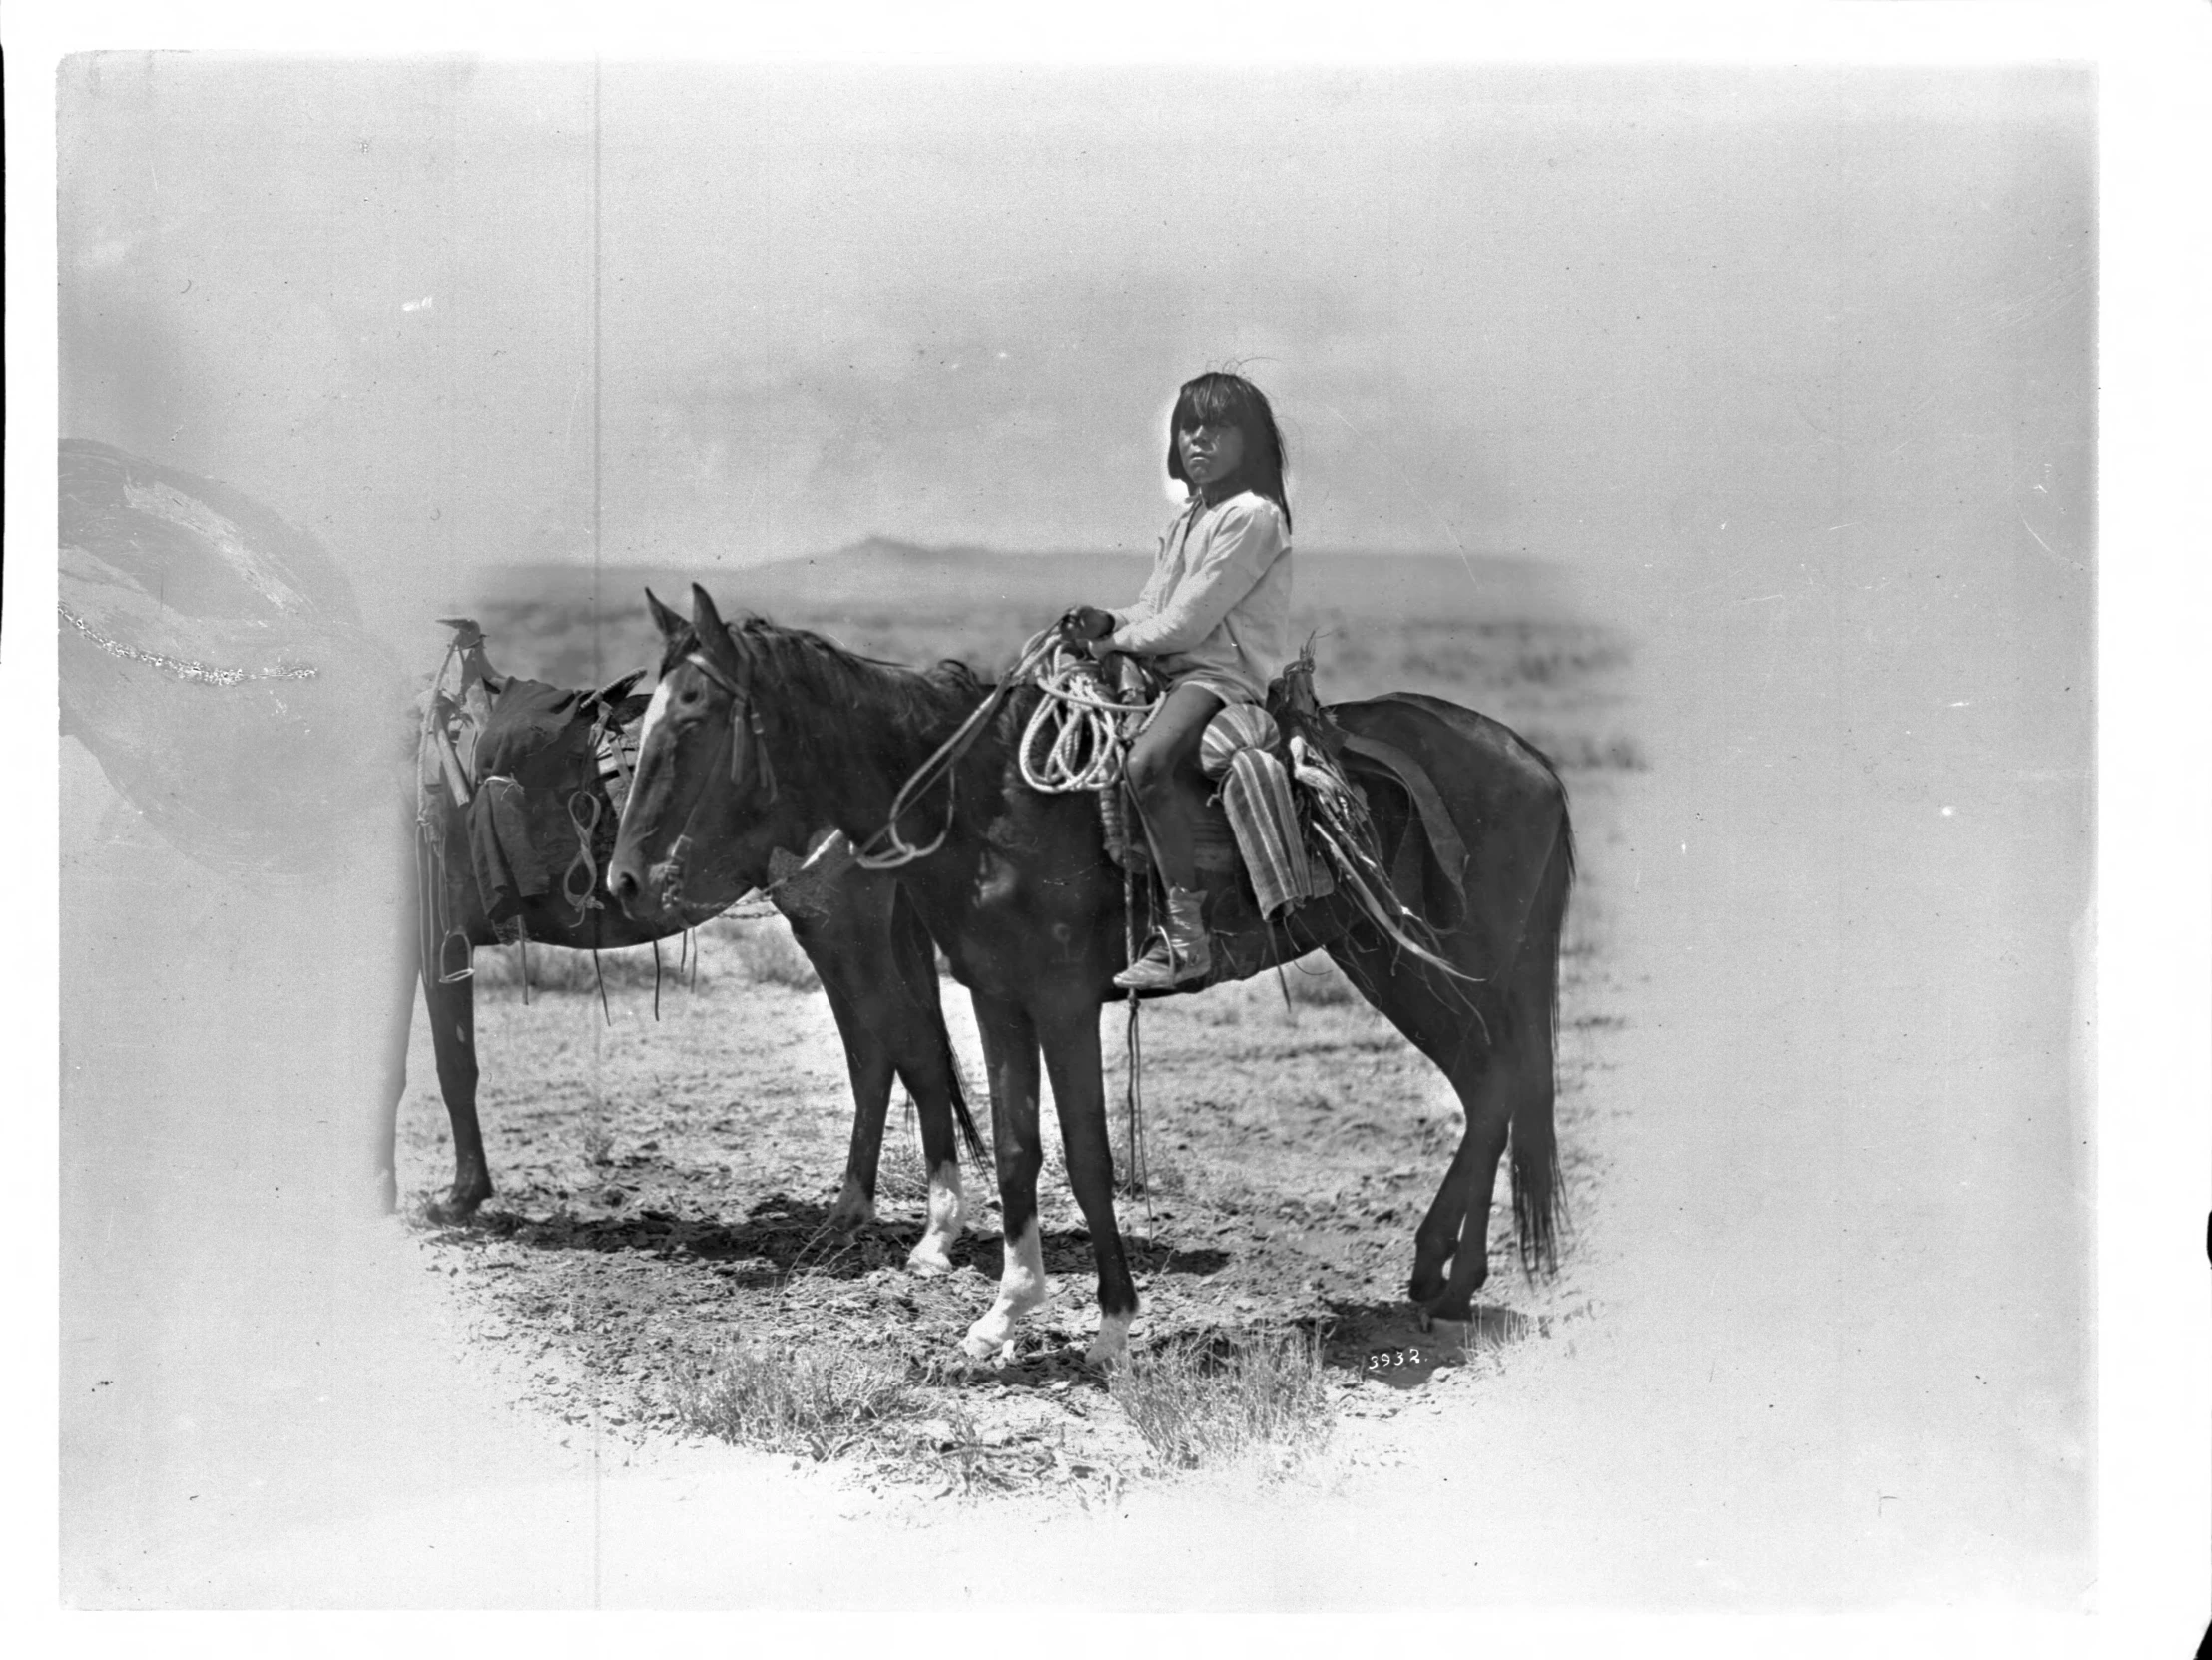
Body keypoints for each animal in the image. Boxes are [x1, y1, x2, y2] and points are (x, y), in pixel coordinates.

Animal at [375, 628, 981, 1266]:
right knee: (872, 1060)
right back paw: (847, 1215)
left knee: (912, 1050)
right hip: (842, 931)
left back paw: (936, 1232)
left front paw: (423, 1196)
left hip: (836, 926)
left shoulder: (422, 942)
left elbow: (431, 1065)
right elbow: (447, 1062)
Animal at [610, 588, 1574, 1363]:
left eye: (691, 716)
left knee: (1498, 1081)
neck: (989, 803)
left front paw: (1110, 1324)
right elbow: (1015, 1149)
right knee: (1489, 1085)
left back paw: (1448, 1281)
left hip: (1446, 967)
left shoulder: (1065, 1004)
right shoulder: (998, 998)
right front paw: (1004, 1314)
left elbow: (1086, 1156)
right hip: (1388, 960)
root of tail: (1532, 761)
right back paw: (1441, 1279)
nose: (623, 880)